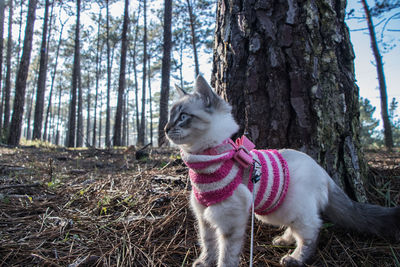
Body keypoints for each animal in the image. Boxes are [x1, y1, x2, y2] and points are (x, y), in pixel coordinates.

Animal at [163, 75, 400, 267]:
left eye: (183, 117)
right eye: (169, 116)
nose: (164, 129)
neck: (206, 162)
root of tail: (323, 171)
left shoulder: (230, 219)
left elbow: (226, 254)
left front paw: (220, 264)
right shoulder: (203, 215)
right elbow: (208, 244)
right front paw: (204, 262)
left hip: (293, 210)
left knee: (312, 230)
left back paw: (294, 258)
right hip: (277, 210)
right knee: (296, 228)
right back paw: (282, 241)